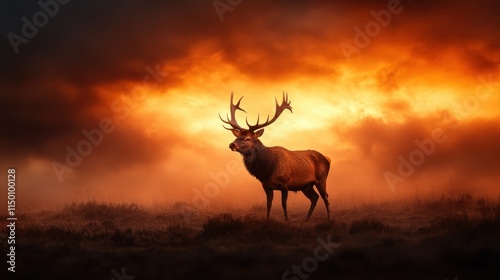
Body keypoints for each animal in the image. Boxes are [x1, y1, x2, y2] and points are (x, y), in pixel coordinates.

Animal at [220, 92, 332, 221]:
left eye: (248, 138)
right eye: (237, 137)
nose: (231, 144)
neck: (268, 170)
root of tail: (328, 159)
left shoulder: (285, 182)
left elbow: (284, 204)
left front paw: (287, 220)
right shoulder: (266, 185)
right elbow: (269, 204)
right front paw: (267, 220)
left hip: (321, 179)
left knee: (325, 197)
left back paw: (329, 219)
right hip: (306, 186)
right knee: (315, 198)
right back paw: (306, 219)